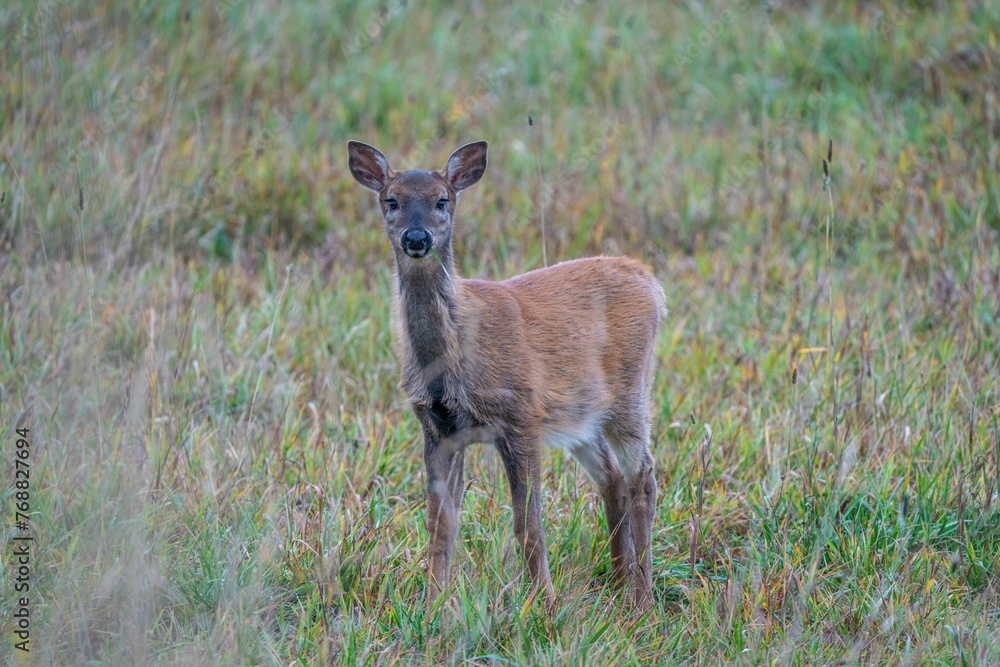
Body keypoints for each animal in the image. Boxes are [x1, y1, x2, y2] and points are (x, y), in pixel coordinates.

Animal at [347, 139, 666, 610]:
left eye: (441, 201)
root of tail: (651, 282)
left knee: (642, 476)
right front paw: (433, 604)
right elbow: (440, 524)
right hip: (581, 413)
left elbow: (528, 525)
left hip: (631, 393)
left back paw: (641, 598)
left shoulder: (521, 414)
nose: (417, 238)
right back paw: (618, 580)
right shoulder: (438, 428)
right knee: (612, 477)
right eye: (392, 201)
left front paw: (544, 606)